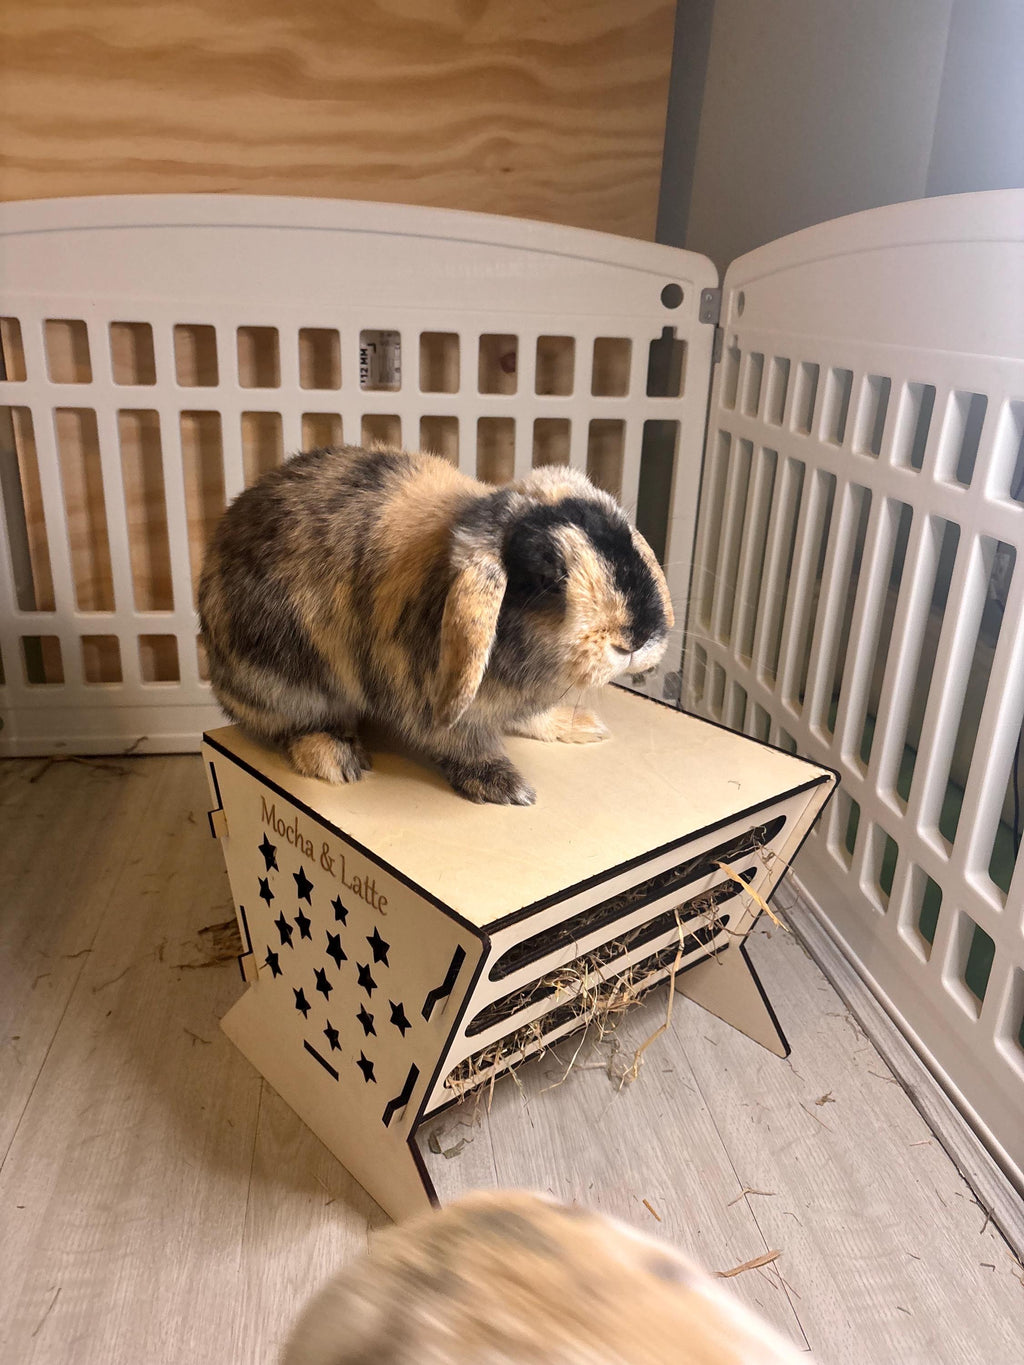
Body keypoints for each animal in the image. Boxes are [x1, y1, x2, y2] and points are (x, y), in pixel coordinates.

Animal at [199, 446, 674, 806]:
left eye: (626, 538)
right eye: (548, 576)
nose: (636, 637)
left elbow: (530, 717)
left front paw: (579, 726)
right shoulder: (426, 705)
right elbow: (463, 747)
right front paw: (508, 789)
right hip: (284, 687)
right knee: (289, 726)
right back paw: (336, 758)